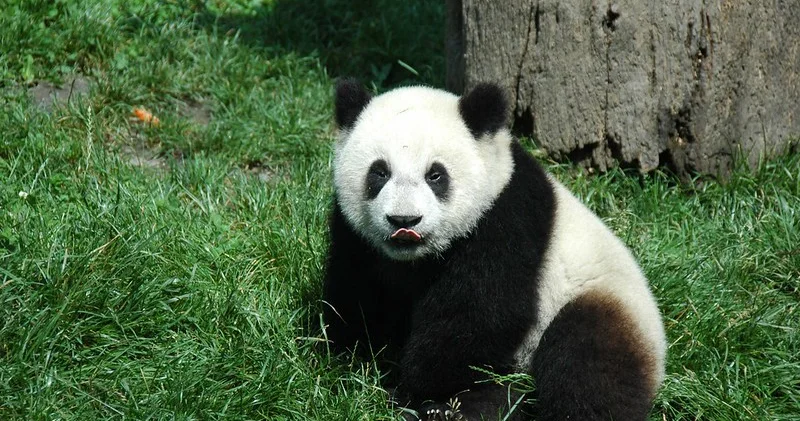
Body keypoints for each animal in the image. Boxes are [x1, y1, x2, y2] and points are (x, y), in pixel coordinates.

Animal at [322, 79, 667, 421]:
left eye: (436, 175)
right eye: (379, 172)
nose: (404, 221)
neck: (415, 259)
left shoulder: (505, 219)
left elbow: (479, 314)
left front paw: (416, 391)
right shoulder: (356, 237)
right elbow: (355, 293)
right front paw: (352, 363)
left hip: (602, 300)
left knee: (586, 363)